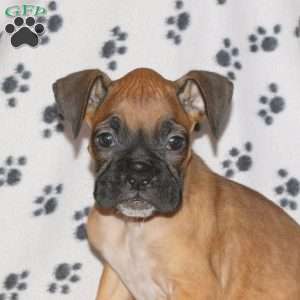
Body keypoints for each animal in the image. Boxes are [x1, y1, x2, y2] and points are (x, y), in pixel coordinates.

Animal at [52, 68, 298, 300]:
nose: (139, 175)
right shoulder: (115, 279)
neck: (135, 228)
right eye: (105, 139)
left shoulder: (195, 286)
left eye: (175, 142)